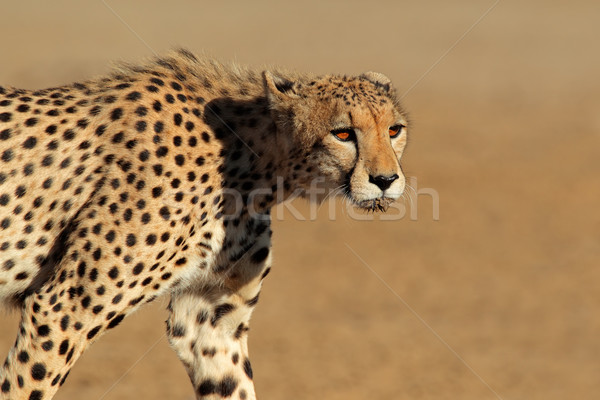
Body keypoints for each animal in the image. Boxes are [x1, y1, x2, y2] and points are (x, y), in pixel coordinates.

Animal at [0, 48, 408, 398]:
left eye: (394, 130)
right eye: (343, 133)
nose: (386, 180)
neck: (251, 163)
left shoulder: (210, 323)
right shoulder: (62, 307)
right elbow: (24, 384)